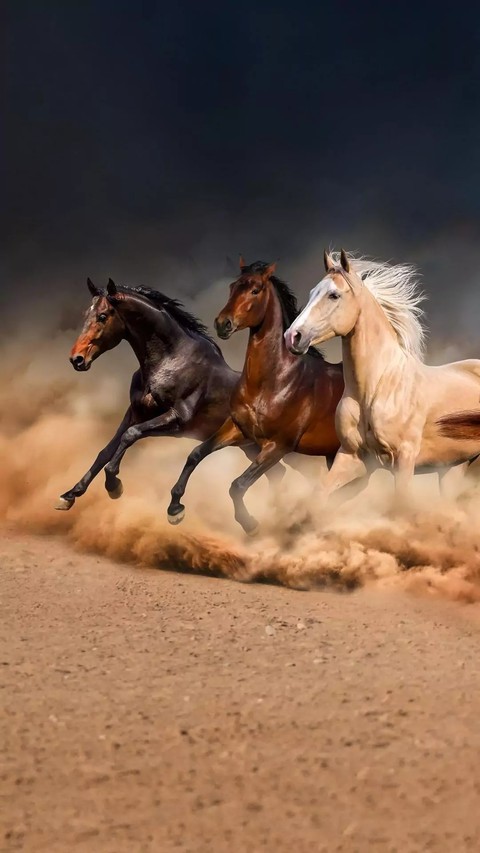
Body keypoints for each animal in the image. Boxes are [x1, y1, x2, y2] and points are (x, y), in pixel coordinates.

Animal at [55, 277, 288, 511]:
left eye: (102, 316)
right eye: (86, 314)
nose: (77, 359)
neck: (170, 361)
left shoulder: (176, 420)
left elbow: (131, 435)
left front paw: (114, 485)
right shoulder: (136, 413)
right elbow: (106, 450)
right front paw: (70, 495)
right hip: (250, 447)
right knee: (277, 472)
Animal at [167, 259, 344, 534]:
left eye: (255, 290)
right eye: (232, 287)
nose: (223, 323)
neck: (274, 382)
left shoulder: (277, 446)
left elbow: (238, 485)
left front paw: (249, 523)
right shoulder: (239, 429)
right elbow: (196, 454)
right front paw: (175, 508)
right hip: (333, 455)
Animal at [284, 249, 480, 506]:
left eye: (334, 295)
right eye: (311, 293)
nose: (292, 337)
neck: (376, 389)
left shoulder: (404, 459)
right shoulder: (351, 456)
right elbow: (319, 495)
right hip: (454, 468)